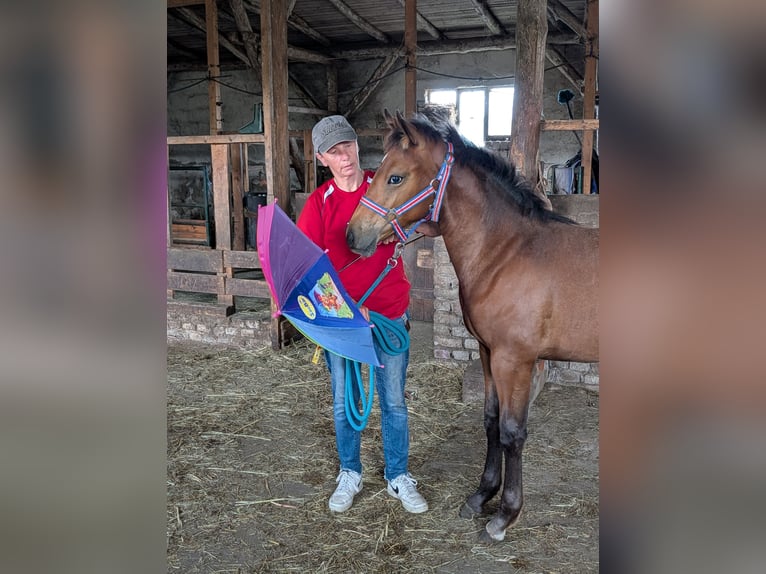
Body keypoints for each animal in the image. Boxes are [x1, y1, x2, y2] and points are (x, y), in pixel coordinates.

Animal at [346, 110, 598, 542]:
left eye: (395, 177)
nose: (353, 234)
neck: (506, 253)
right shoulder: (487, 352)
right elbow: (491, 422)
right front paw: (481, 496)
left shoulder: (515, 360)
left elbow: (513, 432)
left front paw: (505, 514)